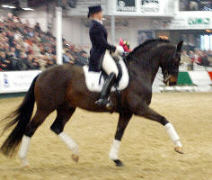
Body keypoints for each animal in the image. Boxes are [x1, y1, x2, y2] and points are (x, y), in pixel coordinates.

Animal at [0, 38, 184, 167]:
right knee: (30, 128)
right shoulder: (139, 107)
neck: (138, 71)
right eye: (177, 59)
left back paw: (75, 153)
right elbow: (164, 119)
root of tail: (42, 73)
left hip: (67, 108)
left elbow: (119, 134)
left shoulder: (127, 112)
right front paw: (178, 146)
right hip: (45, 108)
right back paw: (24, 161)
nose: (172, 81)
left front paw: (115, 159)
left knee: (56, 127)